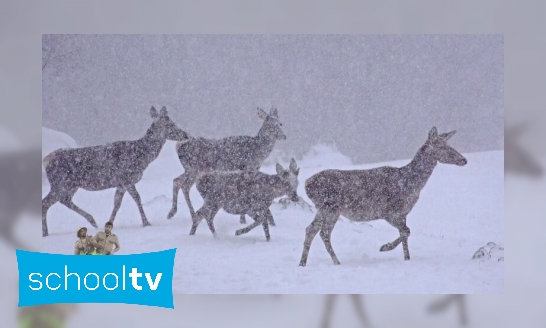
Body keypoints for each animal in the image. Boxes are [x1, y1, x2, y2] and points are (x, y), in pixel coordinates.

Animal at [41, 106, 188, 237]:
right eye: (169, 124)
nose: (185, 134)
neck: (140, 157)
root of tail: (46, 159)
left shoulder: (120, 183)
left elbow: (117, 203)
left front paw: (109, 224)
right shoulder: (127, 178)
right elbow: (137, 198)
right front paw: (146, 223)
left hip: (70, 185)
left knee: (64, 200)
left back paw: (92, 221)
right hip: (61, 183)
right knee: (46, 202)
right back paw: (45, 233)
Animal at [300, 127, 466, 268]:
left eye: (449, 145)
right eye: (443, 147)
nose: (464, 160)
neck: (410, 184)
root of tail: (306, 183)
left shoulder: (403, 213)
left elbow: (405, 235)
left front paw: (407, 259)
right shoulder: (388, 211)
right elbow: (407, 232)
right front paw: (385, 247)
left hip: (324, 209)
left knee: (311, 230)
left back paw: (303, 263)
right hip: (330, 207)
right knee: (323, 233)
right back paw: (336, 262)